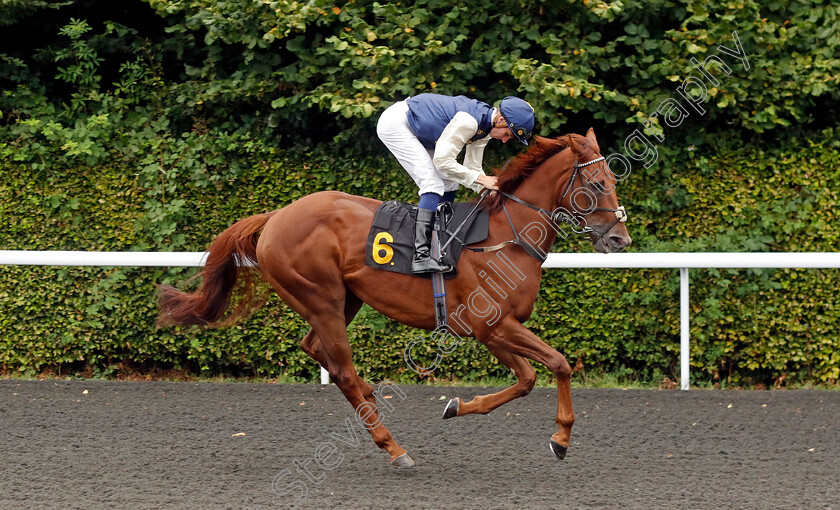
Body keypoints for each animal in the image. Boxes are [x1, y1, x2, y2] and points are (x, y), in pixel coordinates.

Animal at [158, 129, 632, 468]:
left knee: (317, 350)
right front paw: (560, 438)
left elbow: (530, 377)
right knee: (342, 371)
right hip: (321, 298)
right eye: (596, 183)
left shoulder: (493, 330)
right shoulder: (491, 325)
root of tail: (276, 216)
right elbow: (555, 365)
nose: (620, 240)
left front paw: (458, 406)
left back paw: (372, 400)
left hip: (343, 300)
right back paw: (392, 446)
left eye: (612, 179)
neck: (504, 236)